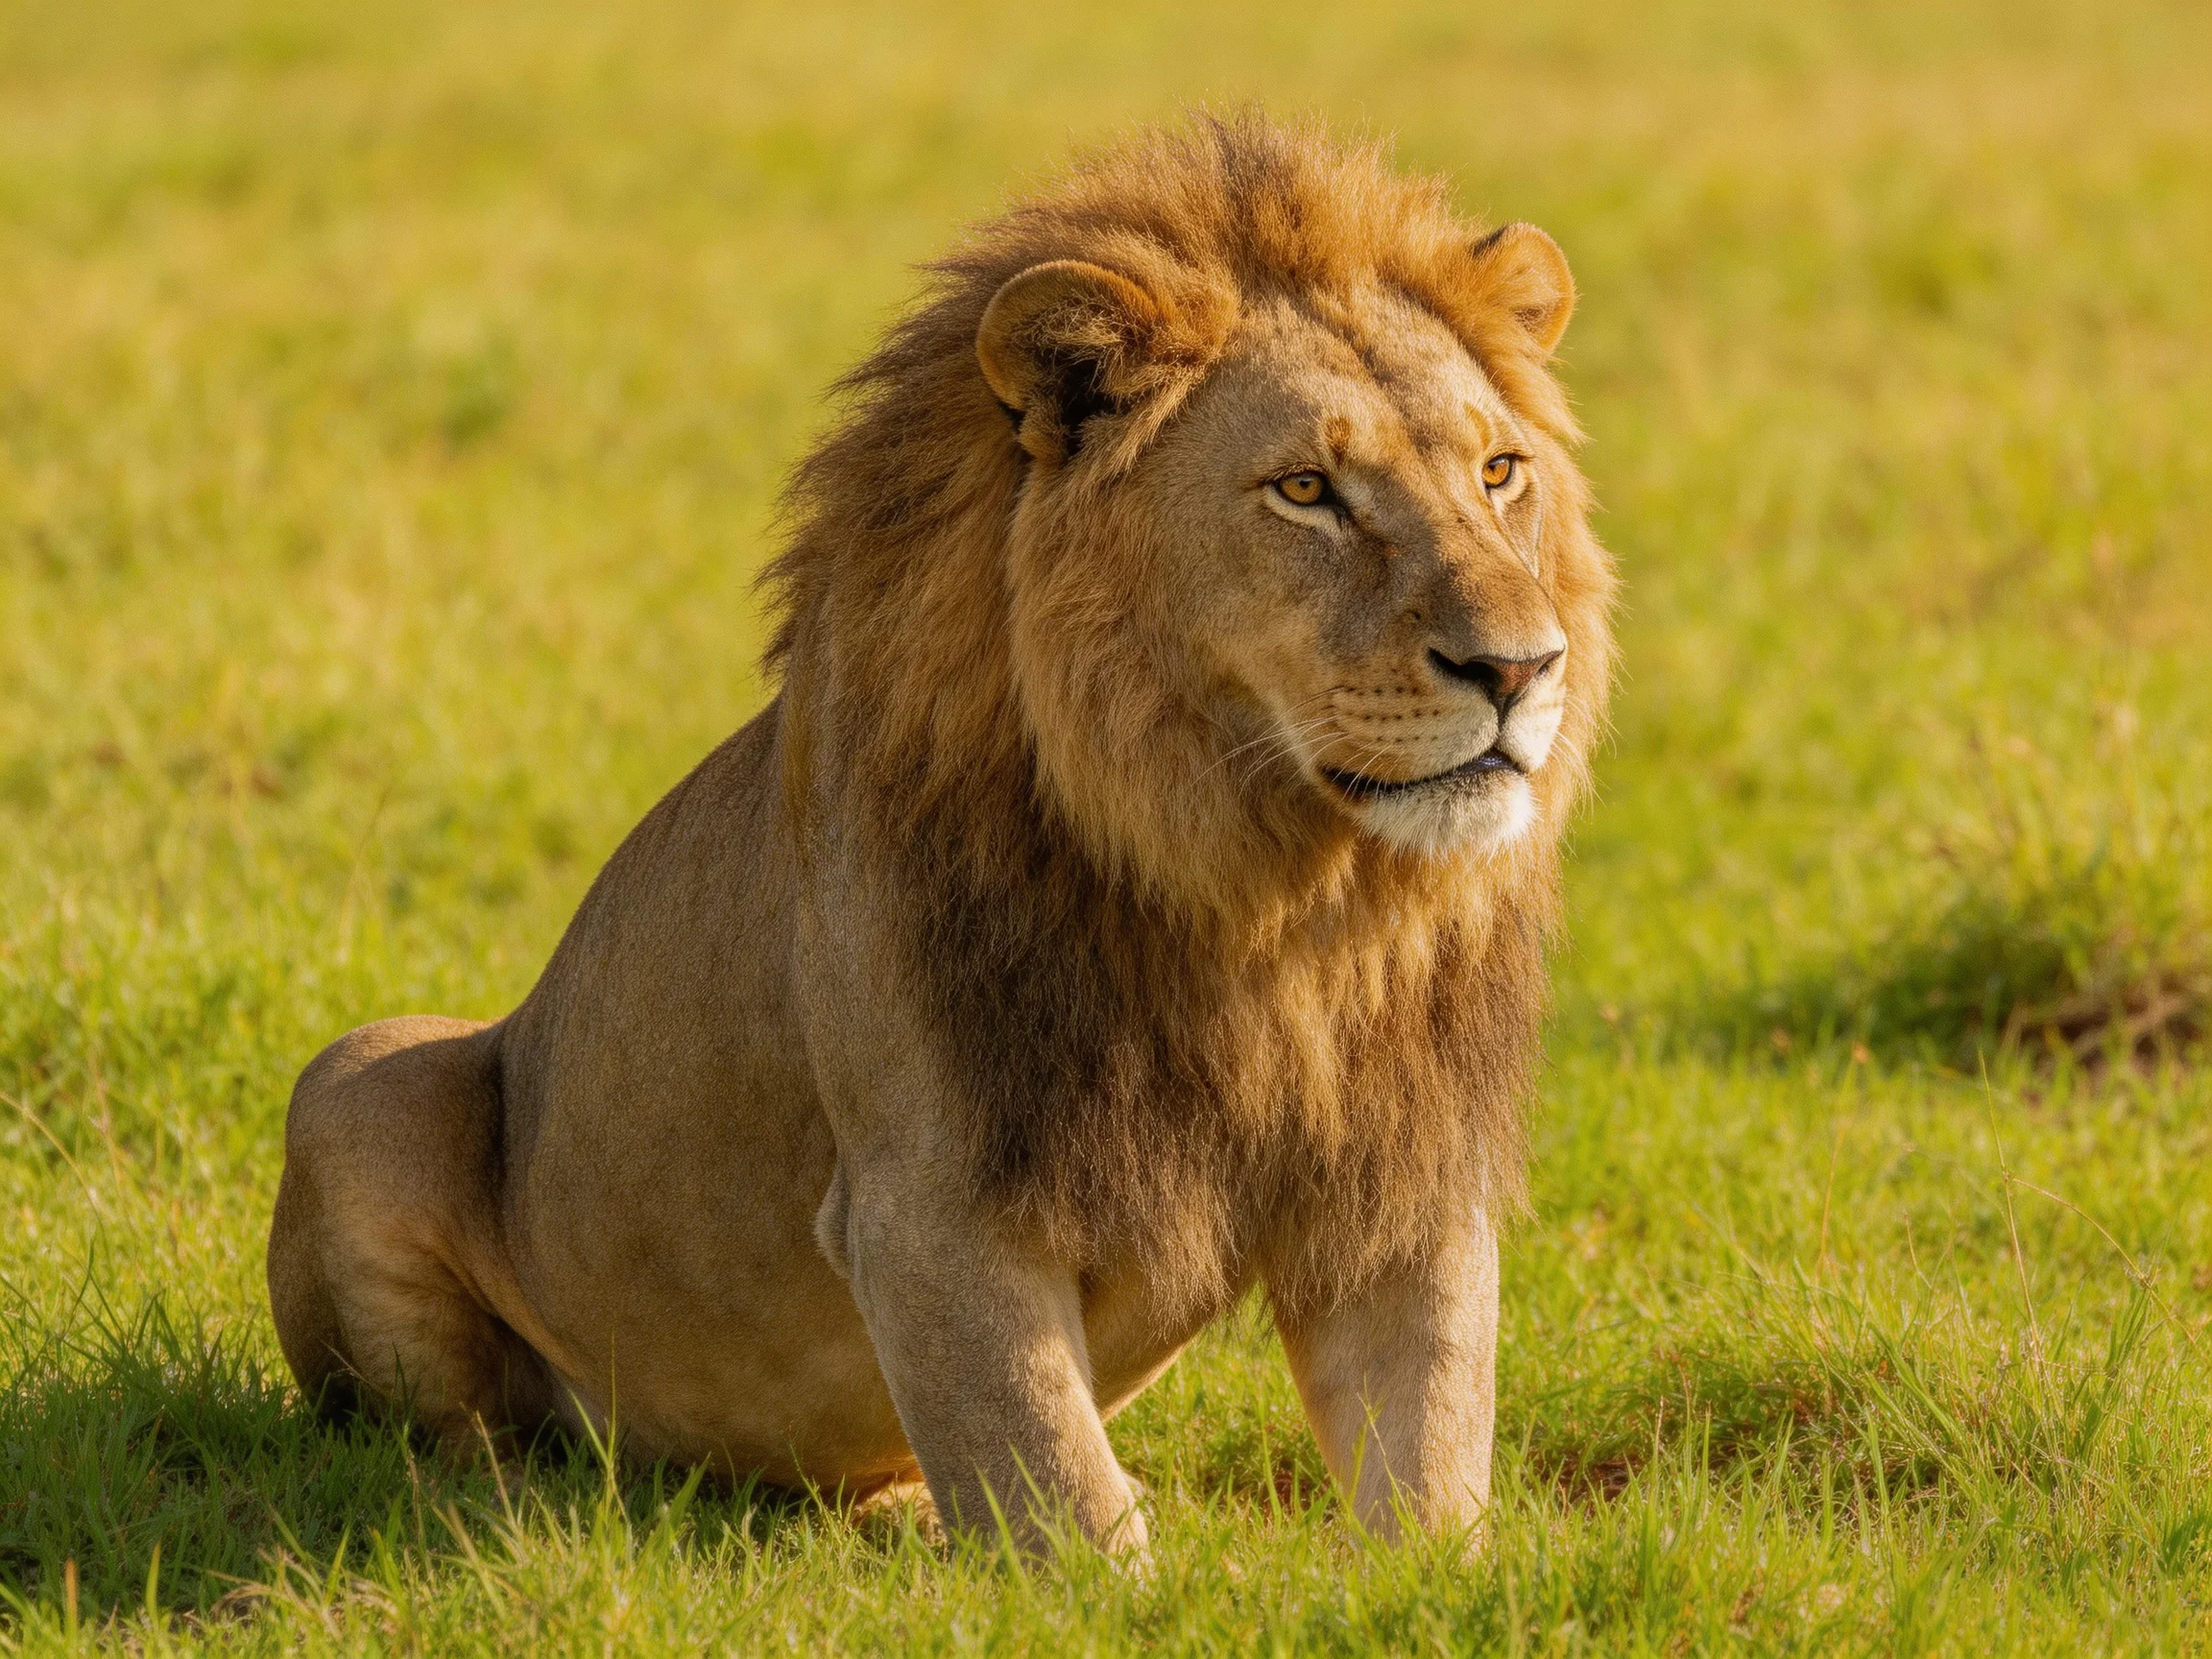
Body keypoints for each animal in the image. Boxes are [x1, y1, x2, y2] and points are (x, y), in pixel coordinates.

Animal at [266, 114, 1616, 1554]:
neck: (1268, 899)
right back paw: (517, 1512)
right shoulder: (930, 1207)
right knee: (451, 1432)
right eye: (1305, 488)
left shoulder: (1402, 1186)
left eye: (1499, 472)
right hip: (360, 1081)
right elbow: (1064, 1506)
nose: (1521, 667)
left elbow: (1431, 1470)